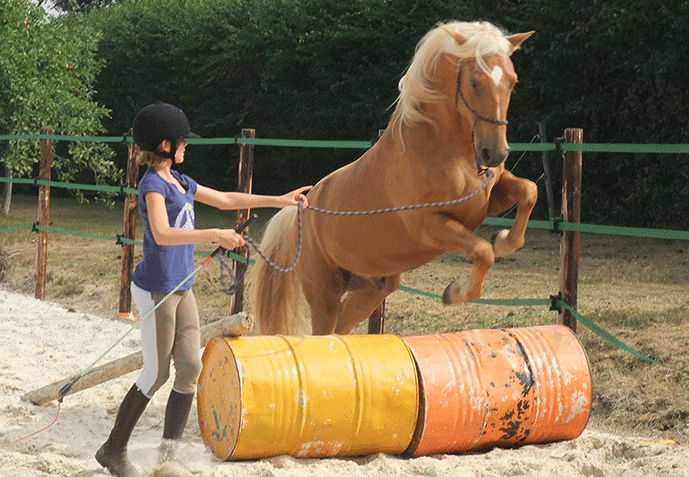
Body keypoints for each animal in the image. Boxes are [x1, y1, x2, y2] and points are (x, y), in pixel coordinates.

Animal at [251, 21, 536, 334]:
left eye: (512, 81)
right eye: (474, 83)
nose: (494, 154)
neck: (443, 151)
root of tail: (301, 209)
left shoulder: (486, 201)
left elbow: (528, 191)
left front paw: (503, 239)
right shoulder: (430, 226)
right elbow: (483, 251)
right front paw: (453, 293)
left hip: (372, 288)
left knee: (342, 328)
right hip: (325, 293)